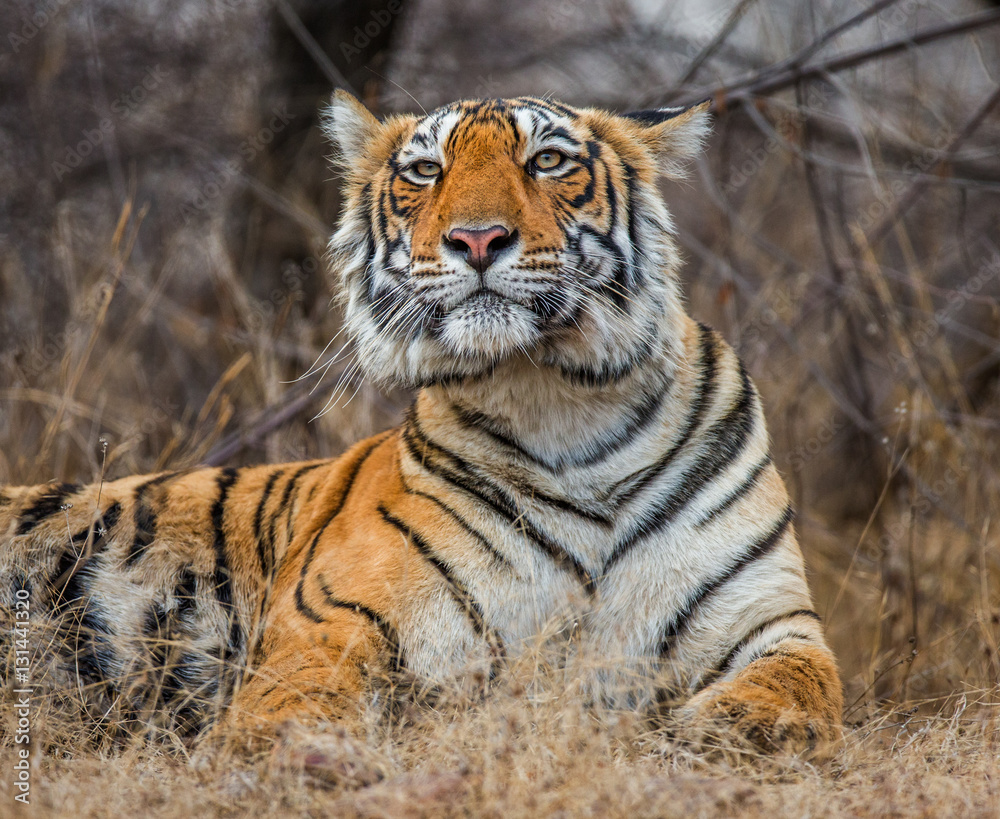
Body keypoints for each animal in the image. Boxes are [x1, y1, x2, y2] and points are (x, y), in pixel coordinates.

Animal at [0, 91, 843, 758]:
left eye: (548, 161)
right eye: (425, 171)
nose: (477, 239)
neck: (563, 407)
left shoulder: (772, 620)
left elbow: (804, 683)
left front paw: (731, 725)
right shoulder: (330, 622)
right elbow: (295, 704)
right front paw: (306, 751)